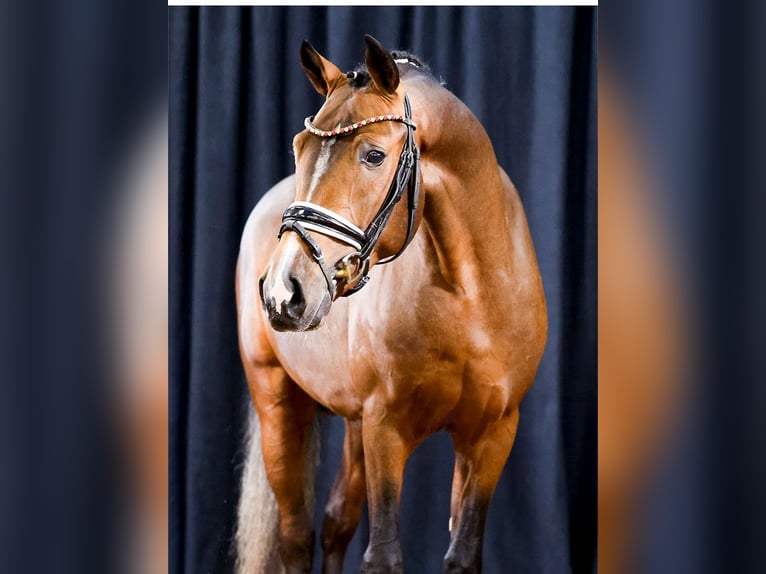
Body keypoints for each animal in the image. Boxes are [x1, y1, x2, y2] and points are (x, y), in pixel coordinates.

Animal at [237, 36, 548, 574]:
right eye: (299, 149)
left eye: (374, 155)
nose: (283, 291)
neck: (470, 296)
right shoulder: (386, 429)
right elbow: (383, 554)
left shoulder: (491, 436)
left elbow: (462, 552)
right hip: (277, 400)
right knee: (296, 535)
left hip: (354, 423)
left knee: (336, 523)